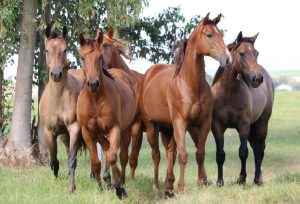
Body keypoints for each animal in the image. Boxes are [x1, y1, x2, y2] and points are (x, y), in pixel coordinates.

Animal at [39, 25, 85, 193]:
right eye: (47, 50)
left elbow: (72, 160)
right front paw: (56, 183)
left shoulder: (74, 128)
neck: (58, 98)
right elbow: (54, 162)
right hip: (65, 137)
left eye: (65, 49)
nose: (56, 74)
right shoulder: (49, 132)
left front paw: (71, 189)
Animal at [76, 30, 136, 199]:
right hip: (98, 133)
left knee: (118, 154)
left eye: (99, 57)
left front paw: (119, 188)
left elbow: (112, 156)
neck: (95, 100)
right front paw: (100, 188)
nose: (93, 84)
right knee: (106, 148)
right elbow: (96, 162)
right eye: (82, 57)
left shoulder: (114, 128)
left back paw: (118, 180)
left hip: (126, 129)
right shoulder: (88, 132)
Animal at [139, 13, 232, 196]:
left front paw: (201, 183)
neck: (190, 84)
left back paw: (169, 187)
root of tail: (149, 74)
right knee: (157, 155)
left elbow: (200, 153)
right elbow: (183, 155)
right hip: (152, 127)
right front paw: (182, 189)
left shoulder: (203, 123)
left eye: (221, 35)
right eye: (209, 35)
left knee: (170, 153)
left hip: (168, 129)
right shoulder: (181, 123)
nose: (227, 59)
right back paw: (157, 188)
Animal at [211, 31, 274, 186]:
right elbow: (220, 154)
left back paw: (257, 180)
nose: (257, 79)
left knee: (259, 150)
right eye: (241, 53)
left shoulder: (243, 126)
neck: (228, 93)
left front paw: (241, 179)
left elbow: (243, 152)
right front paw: (219, 182)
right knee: (256, 148)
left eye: (256, 53)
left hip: (262, 124)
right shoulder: (217, 127)